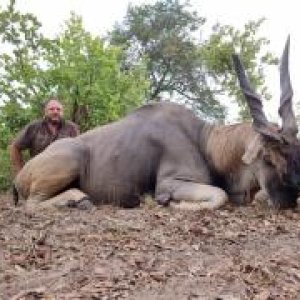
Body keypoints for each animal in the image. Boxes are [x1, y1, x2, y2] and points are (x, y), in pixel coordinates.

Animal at [12, 37, 300, 211]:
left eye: (297, 153)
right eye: (268, 157)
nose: (288, 200)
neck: (204, 141)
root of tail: (20, 176)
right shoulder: (171, 182)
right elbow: (220, 195)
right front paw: (167, 203)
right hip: (71, 158)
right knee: (31, 204)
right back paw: (78, 199)